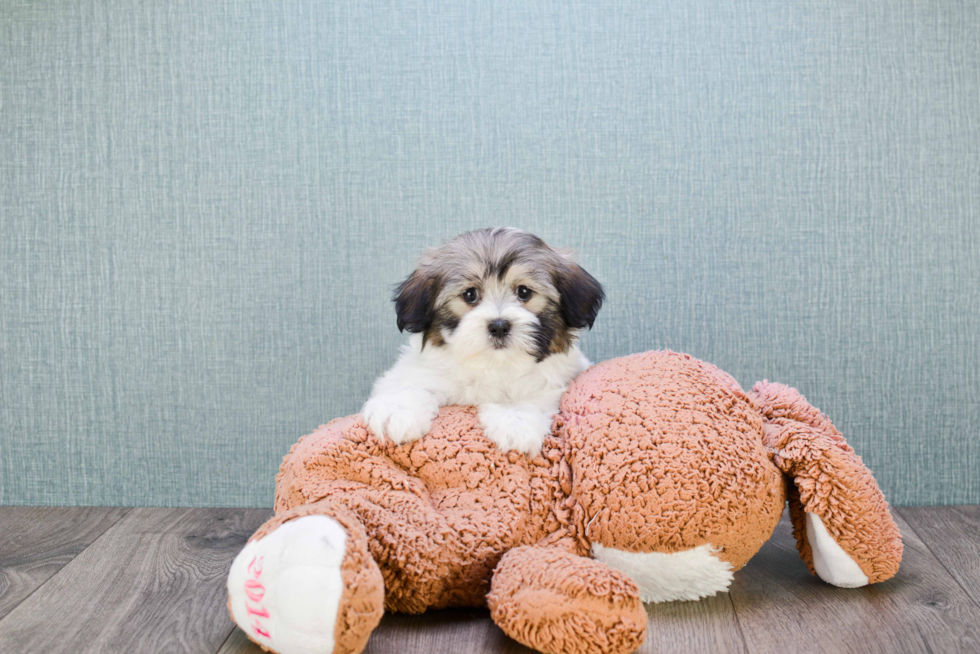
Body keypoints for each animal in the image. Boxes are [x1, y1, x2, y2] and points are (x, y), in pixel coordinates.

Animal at [362, 228, 604, 458]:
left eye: (524, 292)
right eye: (470, 294)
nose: (499, 325)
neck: (493, 365)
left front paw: (516, 419)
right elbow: (410, 383)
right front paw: (397, 409)